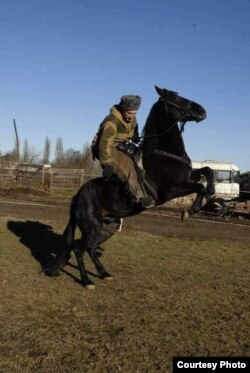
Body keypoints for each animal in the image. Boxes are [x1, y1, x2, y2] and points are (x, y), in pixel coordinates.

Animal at [43, 86, 215, 288]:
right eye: (176, 99)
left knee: (90, 249)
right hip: (92, 227)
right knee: (80, 250)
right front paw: (190, 211)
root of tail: (77, 197)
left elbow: (208, 171)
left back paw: (104, 274)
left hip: (108, 227)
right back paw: (87, 282)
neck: (164, 154)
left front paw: (211, 193)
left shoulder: (188, 176)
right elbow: (200, 187)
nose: (201, 110)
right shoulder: (170, 190)